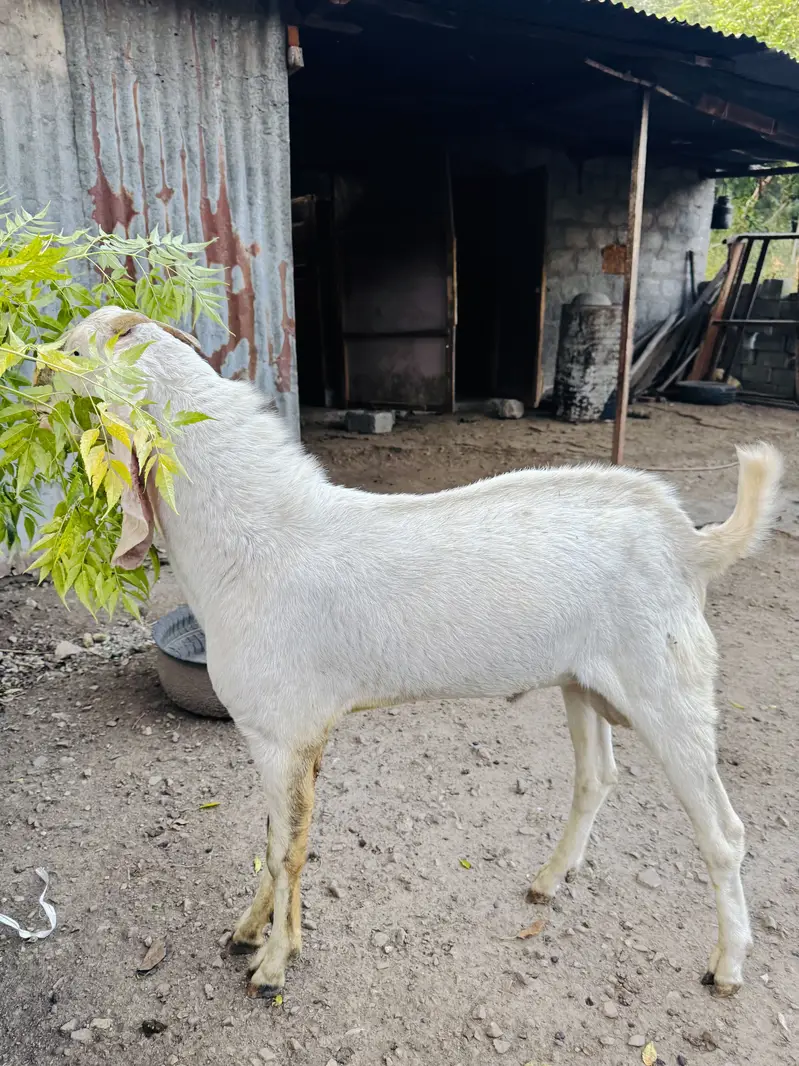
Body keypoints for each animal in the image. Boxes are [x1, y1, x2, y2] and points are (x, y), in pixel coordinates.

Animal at [65, 306, 782, 998]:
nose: (41, 370)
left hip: (669, 688)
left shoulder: (279, 732)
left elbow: (285, 850)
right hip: (584, 682)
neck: (254, 539)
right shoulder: (301, 736)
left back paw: (726, 967)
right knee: (596, 778)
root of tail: (689, 542)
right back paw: (547, 881)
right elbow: (279, 839)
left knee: (724, 834)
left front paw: (271, 966)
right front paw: (248, 932)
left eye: (72, 352)